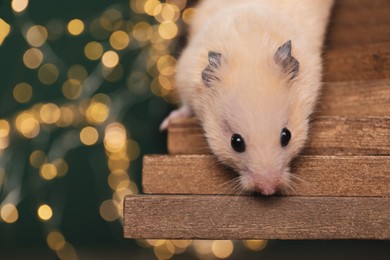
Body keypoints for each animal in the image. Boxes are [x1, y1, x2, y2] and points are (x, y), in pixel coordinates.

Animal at [160, 0, 334, 195]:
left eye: (286, 136)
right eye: (236, 143)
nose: (268, 190)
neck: (249, 47)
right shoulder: (185, 77)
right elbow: (185, 106)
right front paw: (165, 125)